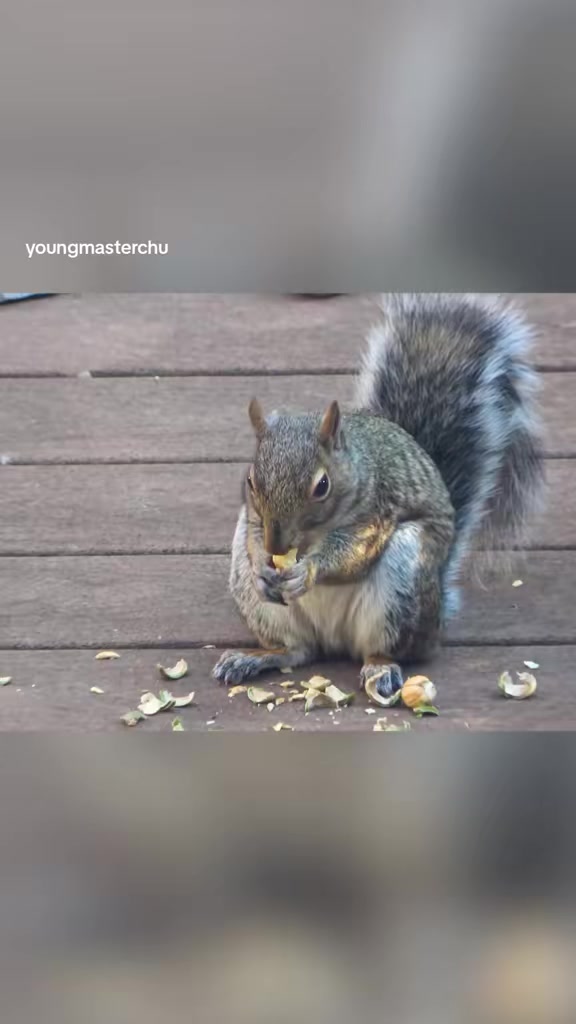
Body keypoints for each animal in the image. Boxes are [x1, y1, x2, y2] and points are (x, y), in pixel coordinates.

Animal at [213, 294, 543, 698]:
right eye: (251, 480)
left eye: (321, 486)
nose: (277, 546)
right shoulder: (254, 518)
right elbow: (254, 537)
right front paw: (264, 562)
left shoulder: (378, 509)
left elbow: (354, 552)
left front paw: (309, 568)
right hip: (260, 602)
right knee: (298, 651)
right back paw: (256, 657)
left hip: (403, 586)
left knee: (383, 649)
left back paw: (380, 668)